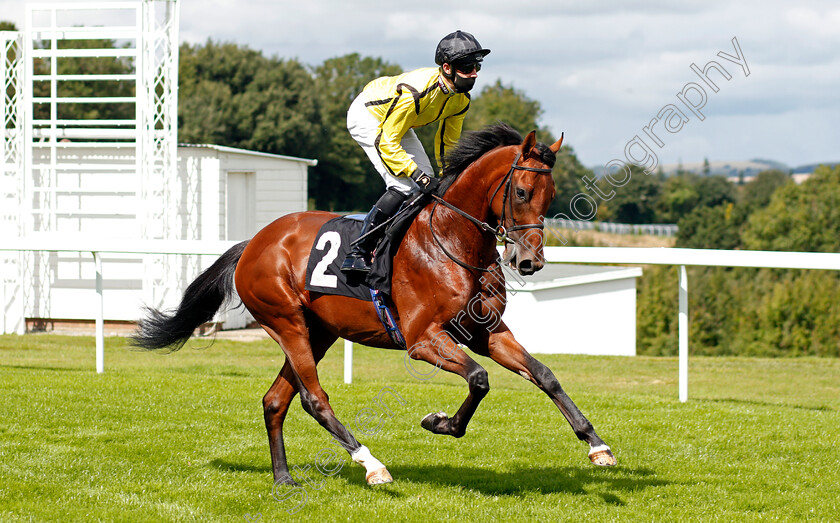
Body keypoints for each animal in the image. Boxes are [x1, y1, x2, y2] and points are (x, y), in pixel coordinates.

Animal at [133, 123, 616, 488]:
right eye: (520, 191)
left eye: (550, 194)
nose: (529, 261)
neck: (452, 240)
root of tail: (253, 243)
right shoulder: (423, 341)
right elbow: (479, 380)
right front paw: (439, 422)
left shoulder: (487, 332)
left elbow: (544, 375)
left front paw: (597, 445)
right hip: (286, 321)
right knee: (314, 398)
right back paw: (372, 464)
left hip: (317, 331)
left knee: (276, 400)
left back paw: (283, 478)